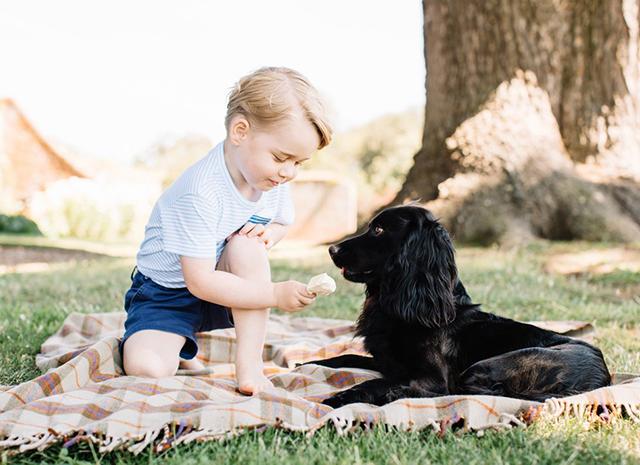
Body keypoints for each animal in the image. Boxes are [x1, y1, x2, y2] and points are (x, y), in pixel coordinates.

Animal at [308, 206, 612, 406]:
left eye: (379, 229)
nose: (332, 249)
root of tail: (602, 379)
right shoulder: (387, 362)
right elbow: (343, 358)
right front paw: (307, 363)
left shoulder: (431, 376)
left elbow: (380, 382)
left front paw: (339, 398)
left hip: (489, 366)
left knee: (463, 392)